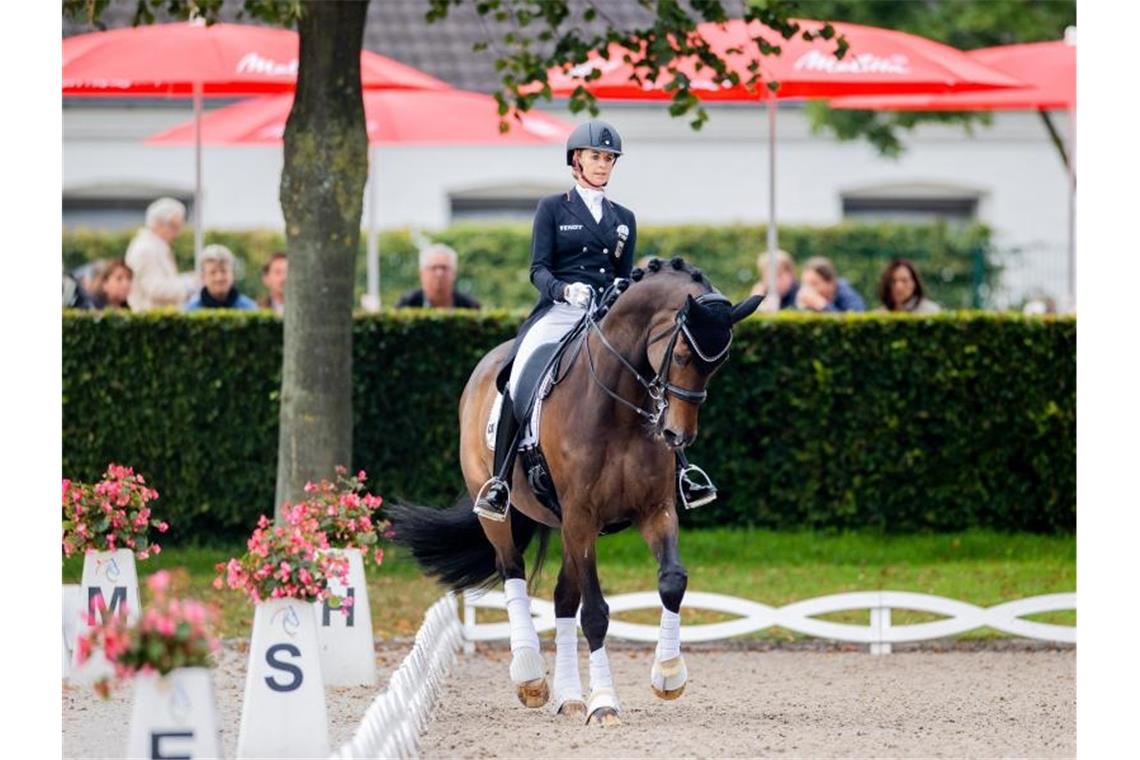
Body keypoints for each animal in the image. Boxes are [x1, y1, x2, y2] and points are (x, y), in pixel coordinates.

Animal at [387, 258, 761, 729]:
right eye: (679, 355)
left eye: (720, 362)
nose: (677, 435)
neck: (619, 405)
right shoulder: (583, 514)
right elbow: (597, 612)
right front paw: (604, 703)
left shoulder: (653, 511)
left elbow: (671, 581)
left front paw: (668, 674)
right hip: (506, 513)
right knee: (512, 569)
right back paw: (530, 677)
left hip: (565, 524)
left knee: (563, 597)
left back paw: (569, 697)